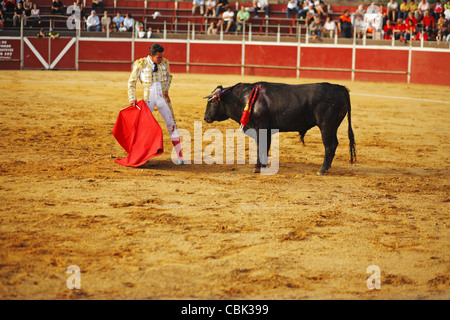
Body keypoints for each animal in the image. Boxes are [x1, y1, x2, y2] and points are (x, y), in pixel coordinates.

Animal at [203, 81, 356, 174]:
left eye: (211, 102)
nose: (205, 117)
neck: (244, 99)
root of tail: (340, 88)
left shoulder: (260, 129)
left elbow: (260, 147)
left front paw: (257, 168)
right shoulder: (267, 131)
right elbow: (265, 147)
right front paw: (263, 165)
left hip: (326, 126)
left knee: (330, 145)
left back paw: (322, 170)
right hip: (331, 127)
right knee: (334, 144)